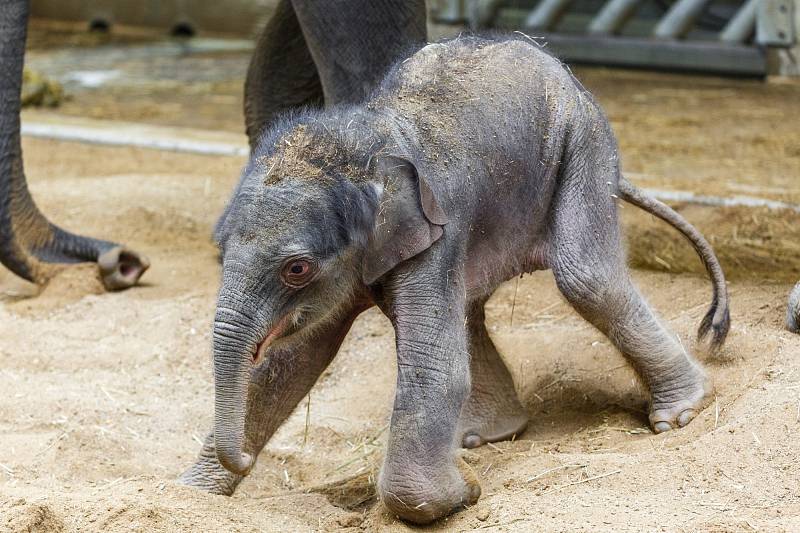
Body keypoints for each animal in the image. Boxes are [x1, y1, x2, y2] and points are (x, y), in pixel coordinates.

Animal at [183, 36, 732, 524]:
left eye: (296, 268)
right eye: (221, 248)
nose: (245, 460)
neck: (363, 144)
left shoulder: (434, 230)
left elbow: (432, 369)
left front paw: (464, 490)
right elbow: (292, 363)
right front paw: (191, 494)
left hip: (582, 140)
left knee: (586, 277)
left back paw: (681, 415)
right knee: (471, 308)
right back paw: (485, 438)